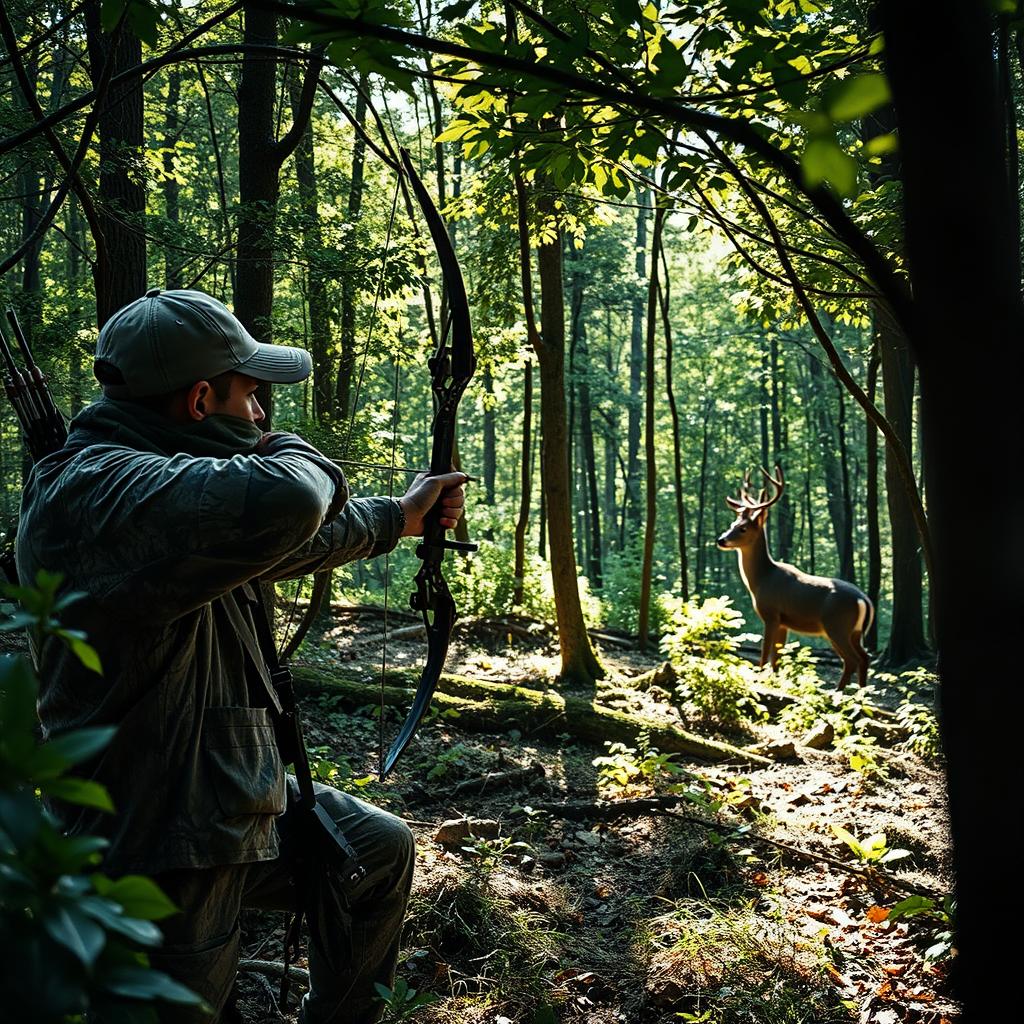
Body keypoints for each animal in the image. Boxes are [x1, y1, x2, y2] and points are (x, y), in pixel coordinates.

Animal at [716, 465, 873, 690]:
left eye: (743, 528)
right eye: (732, 523)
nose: (721, 540)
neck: (763, 579)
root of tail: (864, 600)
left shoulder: (771, 614)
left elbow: (764, 655)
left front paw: (760, 682)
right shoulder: (784, 622)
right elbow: (777, 659)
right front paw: (776, 684)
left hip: (836, 625)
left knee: (852, 659)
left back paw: (838, 692)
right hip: (855, 632)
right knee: (865, 657)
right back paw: (862, 693)